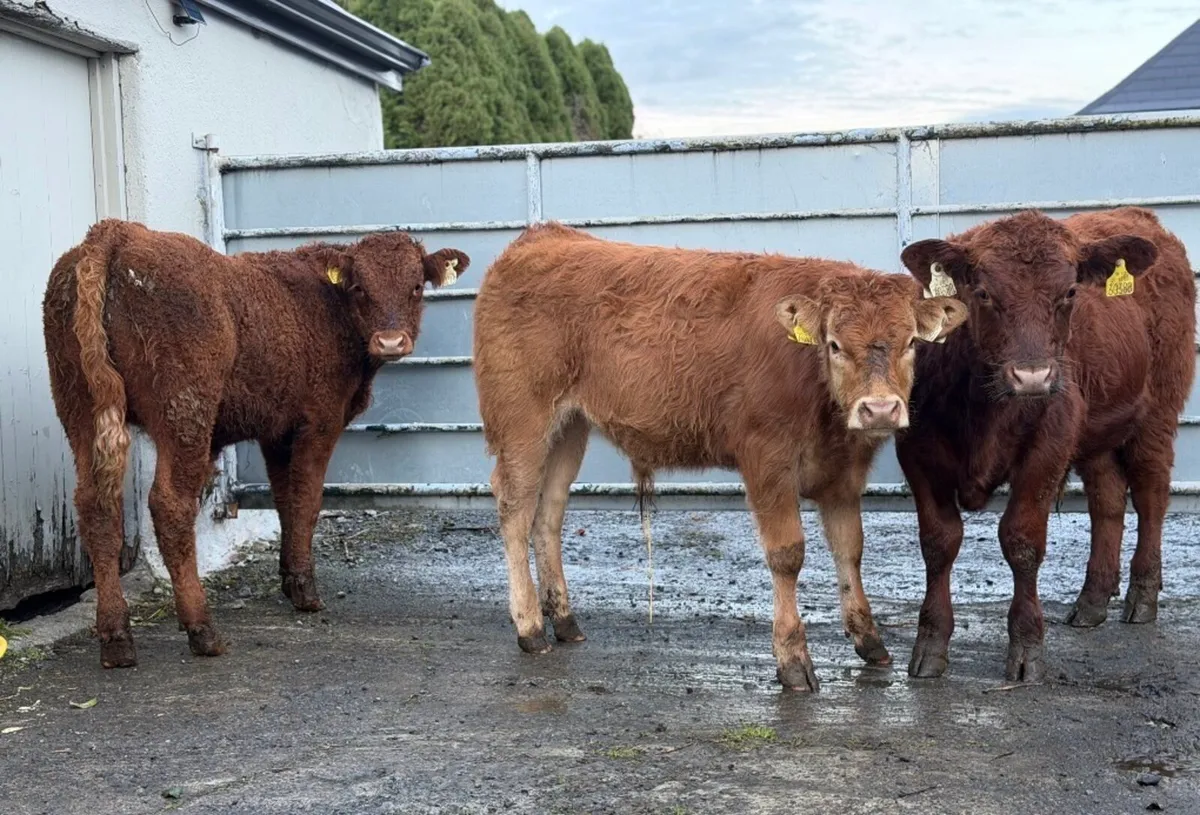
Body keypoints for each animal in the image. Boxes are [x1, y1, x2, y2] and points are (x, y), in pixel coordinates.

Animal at [42, 218, 469, 668]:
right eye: (359, 287)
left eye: (416, 286)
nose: (390, 341)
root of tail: (119, 233)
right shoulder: (320, 422)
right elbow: (307, 500)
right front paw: (305, 590)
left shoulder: (276, 431)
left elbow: (284, 499)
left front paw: (289, 578)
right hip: (186, 414)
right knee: (170, 505)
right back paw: (202, 629)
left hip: (80, 411)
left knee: (97, 508)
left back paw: (116, 637)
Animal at [473, 222, 967, 691]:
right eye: (834, 345)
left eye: (911, 343)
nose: (879, 409)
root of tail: (542, 237)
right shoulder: (766, 459)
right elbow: (787, 554)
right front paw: (792, 660)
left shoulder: (844, 473)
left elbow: (850, 549)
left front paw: (870, 640)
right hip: (522, 421)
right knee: (515, 508)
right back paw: (530, 627)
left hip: (569, 429)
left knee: (548, 513)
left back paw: (564, 620)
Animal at [898, 207, 1195, 682]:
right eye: (983, 292)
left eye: (1070, 292)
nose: (1033, 376)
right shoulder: (918, 453)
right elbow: (939, 542)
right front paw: (930, 644)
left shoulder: (1048, 446)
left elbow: (1021, 540)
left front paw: (1026, 648)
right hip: (1096, 433)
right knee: (1107, 500)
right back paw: (1092, 600)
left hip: (1156, 415)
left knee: (1150, 495)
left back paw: (1142, 595)